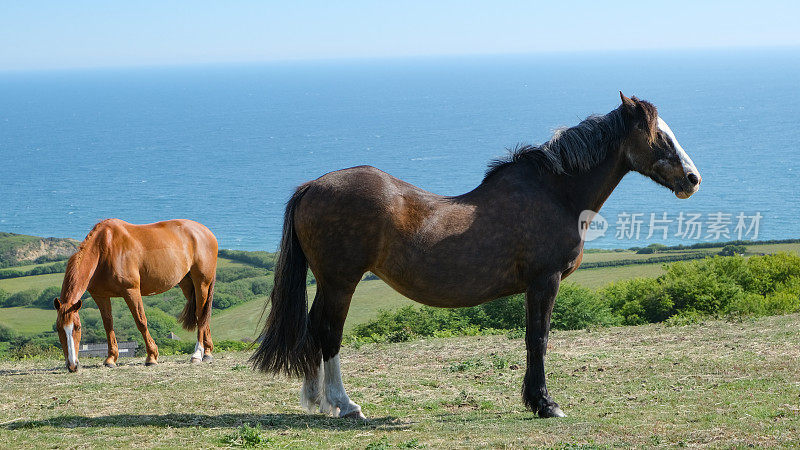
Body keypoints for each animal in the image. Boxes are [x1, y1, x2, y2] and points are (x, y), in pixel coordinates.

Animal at [54, 219, 217, 372]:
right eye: (59, 328)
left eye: (78, 328)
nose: (72, 365)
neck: (104, 249)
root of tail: (207, 232)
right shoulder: (100, 296)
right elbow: (108, 324)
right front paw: (111, 358)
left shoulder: (131, 291)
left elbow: (141, 321)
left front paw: (152, 356)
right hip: (187, 284)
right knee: (201, 315)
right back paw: (208, 352)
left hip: (201, 283)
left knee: (201, 314)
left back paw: (197, 354)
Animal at [250, 93, 700, 420]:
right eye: (659, 136)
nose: (692, 179)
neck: (555, 193)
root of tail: (312, 186)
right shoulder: (544, 280)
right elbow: (538, 338)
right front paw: (544, 403)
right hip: (341, 282)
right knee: (328, 333)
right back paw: (344, 405)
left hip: (330, 282)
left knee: (312, 331)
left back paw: (316, 400)